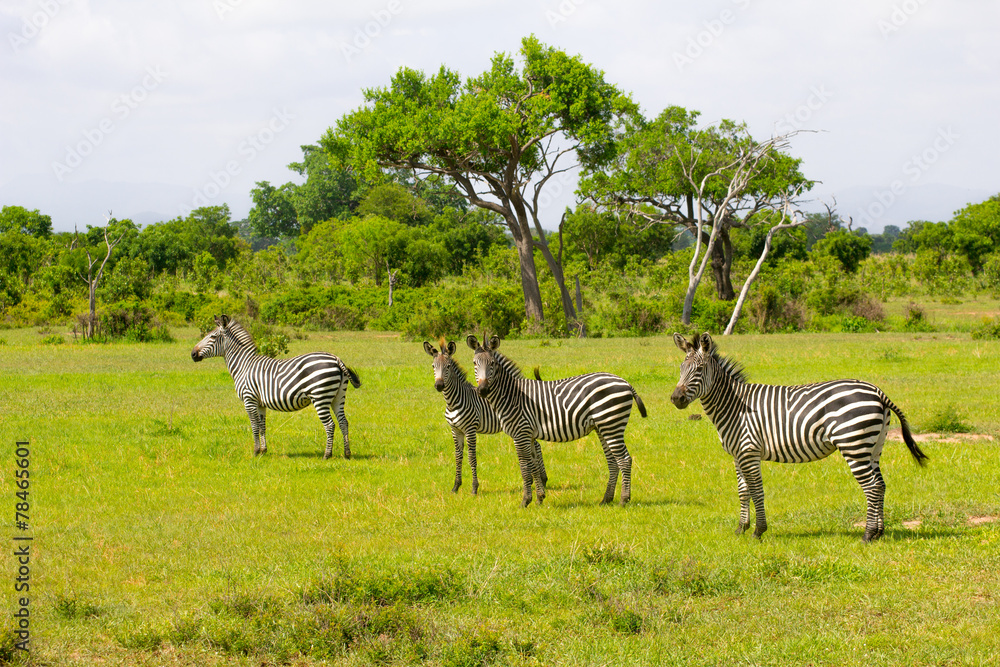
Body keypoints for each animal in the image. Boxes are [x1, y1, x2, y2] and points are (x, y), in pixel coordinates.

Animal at [191, 315, 361, 459]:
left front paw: (255, 451)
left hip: (320, 397)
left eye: (212, 337)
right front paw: (263, 451)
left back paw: (327, 455)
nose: (193, 354)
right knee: (343, 422)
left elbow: (254, 426)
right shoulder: (260, 403)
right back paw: (347, 454)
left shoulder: (249, 399)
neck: (243, 366)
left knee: (330, 425)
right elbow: (262, 426)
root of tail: (336, 358)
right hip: (337, 396)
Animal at [423, 340, 547, 495]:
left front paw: (474, 488)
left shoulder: (470, 429)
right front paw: (456, 486)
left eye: (448, 366)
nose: (439, 385)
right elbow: (458, 457)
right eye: (433, 366)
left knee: (536, 446)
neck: (453, 402)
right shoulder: (455, 430)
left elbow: (471, 457)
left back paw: (543, 480)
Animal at [467, 334, 647, 507]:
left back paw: (623, 500)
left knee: (624, 460)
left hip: (611, 424)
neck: (511, 395)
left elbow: (525, 468)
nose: (483, 390)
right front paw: (539, 499)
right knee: (613, 461)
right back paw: (606, 499)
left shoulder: (521, 434)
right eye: (474, 363)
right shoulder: (529, 435)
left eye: (492, 363)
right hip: (603, 427)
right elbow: (534, 466)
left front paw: (525, 501)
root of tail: (625, 382)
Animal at [670, 332, 928, 542]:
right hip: (873, 446)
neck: (735, 406)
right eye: (681, 370)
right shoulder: (738, 455)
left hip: (854, 445)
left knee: (872, 487)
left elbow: (756, 490)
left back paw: (867, 535)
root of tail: (878, 392)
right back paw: (880, 533)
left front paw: (758, 531)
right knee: (881, 485)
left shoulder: (749, 452)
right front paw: (741, 528)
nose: (675, 398)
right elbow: (743, 491)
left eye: (699, 371)